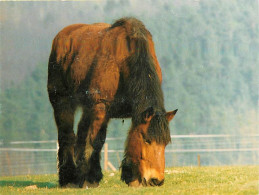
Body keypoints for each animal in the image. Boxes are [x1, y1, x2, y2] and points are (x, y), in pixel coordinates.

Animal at [47, 17, 178, 187]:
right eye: (147, 140)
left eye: (166, 143)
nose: (156, 180)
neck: (125, 61)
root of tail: (61, 35)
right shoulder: (101, 107)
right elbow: (95, 141)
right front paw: (90, 178)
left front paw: (131, 177)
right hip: (61, 101)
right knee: (66, 134)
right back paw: (68, 178)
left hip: (88, 108)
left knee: (81, 133)